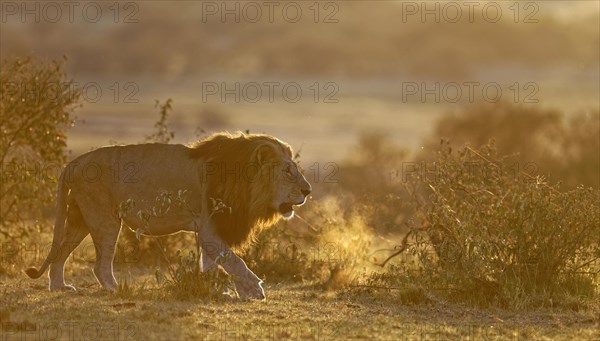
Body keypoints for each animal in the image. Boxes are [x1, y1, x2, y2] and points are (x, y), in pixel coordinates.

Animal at [25, 131, 312, 298]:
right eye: (288, 171)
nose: (308, 191)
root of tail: (73, 163)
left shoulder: (210, 232)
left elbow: (213, 263)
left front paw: (218, 290)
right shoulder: (210, 229)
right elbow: (234, 260)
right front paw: (254, 289)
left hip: (79, 219)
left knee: (59, 254)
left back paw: (59, 287)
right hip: (104, 219)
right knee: (99, 265)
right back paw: (116, 290)